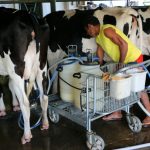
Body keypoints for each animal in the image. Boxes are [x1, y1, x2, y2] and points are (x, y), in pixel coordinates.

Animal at [0, 7, 49, 144]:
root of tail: (28, 15)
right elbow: (10, 86)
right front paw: (14, 105)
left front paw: (2, 109)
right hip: (42, 67)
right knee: (44, 97)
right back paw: (45, 124)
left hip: (16, 69)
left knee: (25, 103)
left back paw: (26, 135)